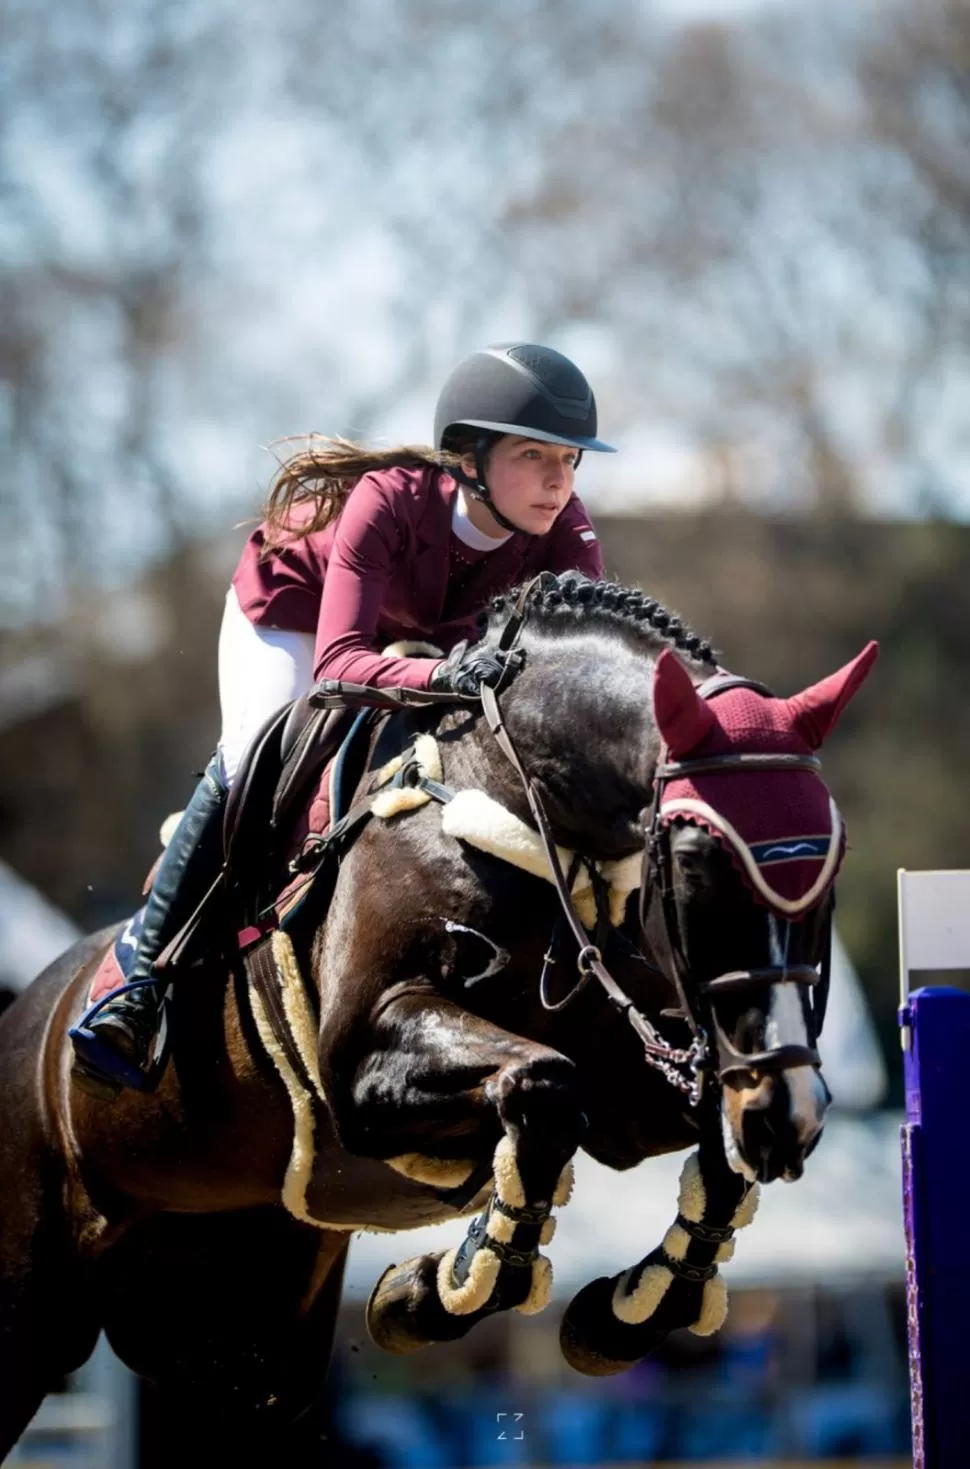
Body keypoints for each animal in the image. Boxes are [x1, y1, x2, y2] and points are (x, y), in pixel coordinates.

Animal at [0, 572, 881, 1457]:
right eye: (698, 861)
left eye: (831, 859)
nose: (787, 1113)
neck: (517, 804)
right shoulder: (364, 1064)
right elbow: (544, 1087)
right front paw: (442, 1287)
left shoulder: (630, 1098)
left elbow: (704, 1149)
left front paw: (623, 1312)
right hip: (33, 1312)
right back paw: (121, 1017)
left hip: (236, 1336)